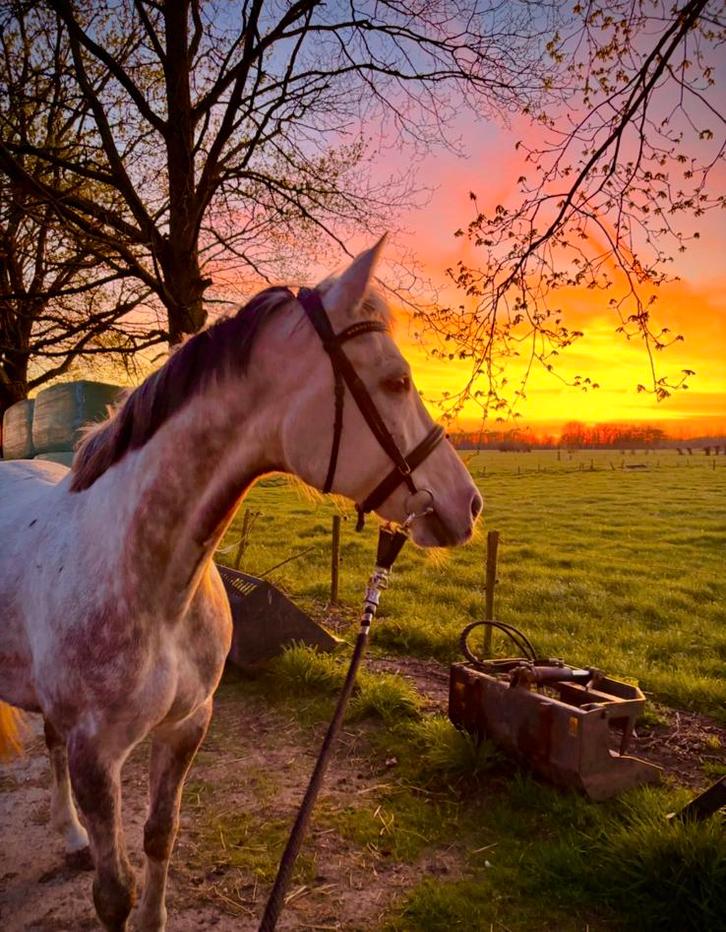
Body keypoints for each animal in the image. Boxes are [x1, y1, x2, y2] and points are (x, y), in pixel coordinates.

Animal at [0, 240, 482, 931]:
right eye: (395, 380)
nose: (468, 504)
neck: (152, 588)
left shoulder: (186, 726)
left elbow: (160, 837)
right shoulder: (97, 760)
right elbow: (113, 892)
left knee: (48, 741)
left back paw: (69, 837)